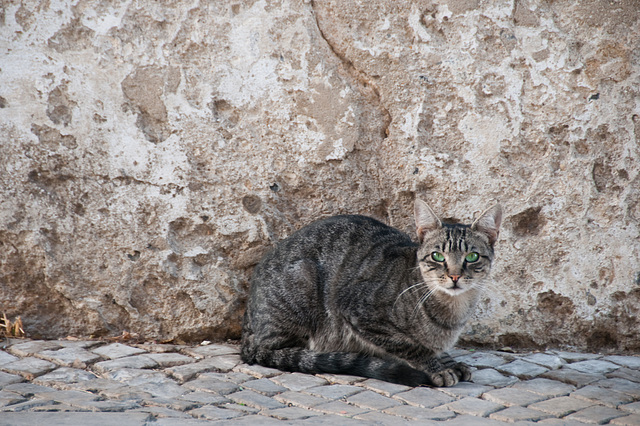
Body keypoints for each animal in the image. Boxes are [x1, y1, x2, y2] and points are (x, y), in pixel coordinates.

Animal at [240, 199, 500, 386]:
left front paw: (449, 361)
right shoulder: (359, 313)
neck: (453, 310)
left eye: (472, 257)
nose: (455, 276)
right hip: (303, 281)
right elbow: (409, 346)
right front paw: (437, 366)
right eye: (437, 256)